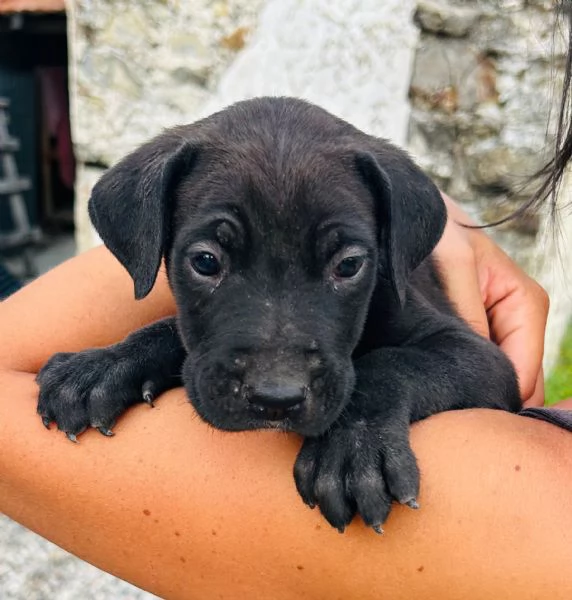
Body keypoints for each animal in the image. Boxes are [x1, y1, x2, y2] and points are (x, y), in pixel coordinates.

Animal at [34, 98, 520, 536]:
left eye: (349, 265)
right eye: (206, 261)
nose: (276, 399)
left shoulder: (479, 357)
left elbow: (391, 363)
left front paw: (351, 447)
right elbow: (173, 333)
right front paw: (102, 365)